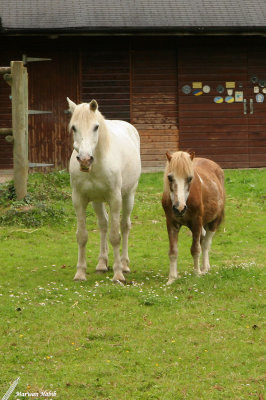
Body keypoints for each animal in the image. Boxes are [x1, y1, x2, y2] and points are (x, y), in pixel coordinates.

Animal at [66, 98, 141, 282]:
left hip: (129, 196)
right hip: (97, 201)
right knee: (103, 225)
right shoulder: (79, 199)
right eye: (74, 127)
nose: (85, 160)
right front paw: (80, 273)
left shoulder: (115, 199)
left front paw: (118, 274)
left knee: (124, 225)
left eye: (96, 127)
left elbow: (115, 236)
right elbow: (82, 236)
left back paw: (124, 264)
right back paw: (101, 263)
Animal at [162, 150, 224, 284]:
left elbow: (195, 249)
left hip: (213, 222)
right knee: (203, 239)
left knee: (206, 244)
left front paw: (197, 274)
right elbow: (173, 251)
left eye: (190, 178)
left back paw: (204, 268)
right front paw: (172, 278)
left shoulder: (196, 223)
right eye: (170, 177)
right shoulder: (171, 224)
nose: (179, 208)